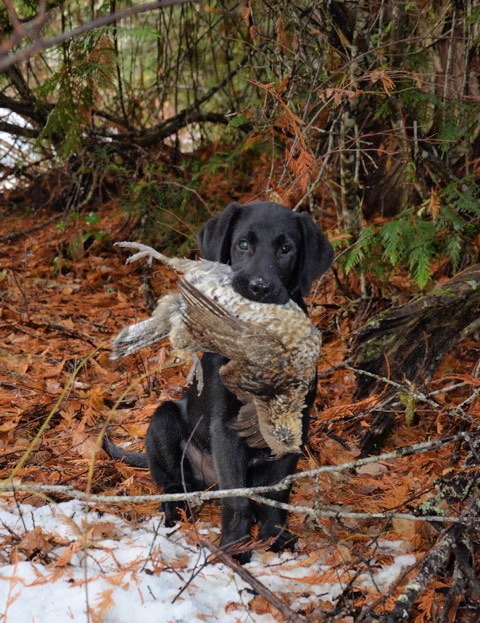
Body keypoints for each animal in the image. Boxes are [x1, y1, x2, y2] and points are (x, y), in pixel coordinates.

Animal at [104, 202, 334, 564]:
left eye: (286, 249)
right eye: (243, 244)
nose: (259, 287)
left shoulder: (295, 423)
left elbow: (277, 494)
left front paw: (275, 537)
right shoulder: (225, 425)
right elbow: (236, 497)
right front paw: (234, 548)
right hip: (164, 421)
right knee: (172, 486)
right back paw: (176, 512)